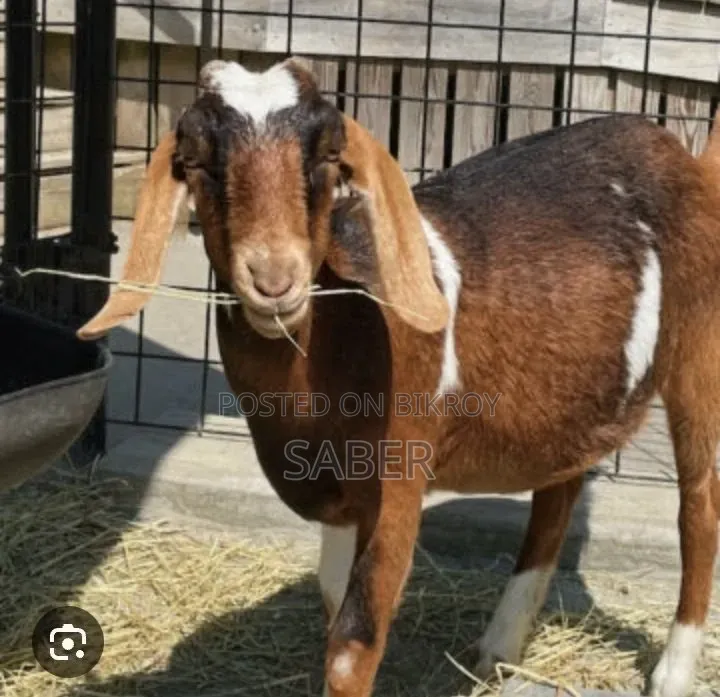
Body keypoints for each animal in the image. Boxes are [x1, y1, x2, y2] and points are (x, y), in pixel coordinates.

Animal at [77, 58, 720, 697]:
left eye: (327, 157)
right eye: (196, 162)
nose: (274, 277)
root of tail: (679, 155)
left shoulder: (398, 479)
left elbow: (352, 644)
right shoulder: (340, 498)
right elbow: (332, 598)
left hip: (698, 359)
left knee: (699, 504)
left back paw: (671, 674)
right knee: (560, 487)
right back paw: (500, 646)